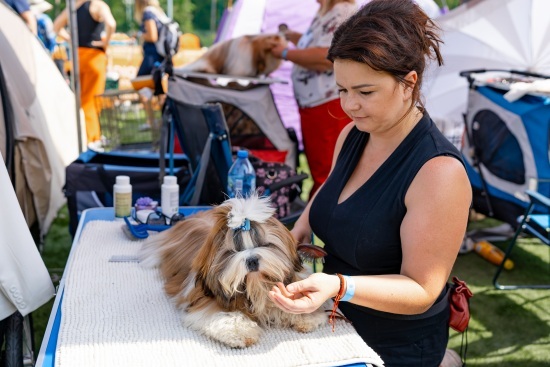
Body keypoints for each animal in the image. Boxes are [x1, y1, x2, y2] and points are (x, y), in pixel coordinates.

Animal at [139, 194, 328, 350]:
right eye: (233, 251)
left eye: (265, 244)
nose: (252, 260)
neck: (255, 287)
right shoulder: (205, 299)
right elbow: (224, 315)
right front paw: (240, 331)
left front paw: (306, 317)